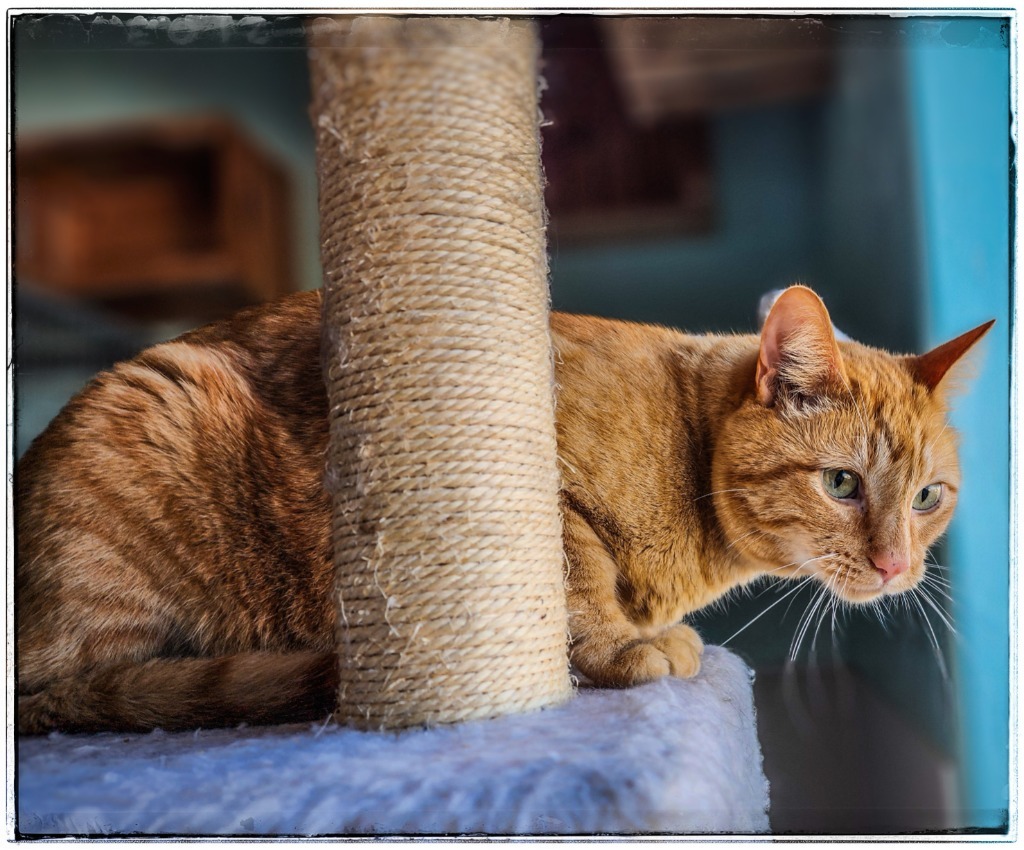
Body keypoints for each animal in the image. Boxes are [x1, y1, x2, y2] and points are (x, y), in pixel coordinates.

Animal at [16, 286, 991, 733]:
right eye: (843, 485)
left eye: (928, 498)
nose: (897, 566)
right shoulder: (541, 495)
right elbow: (579, 585)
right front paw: (625, 649)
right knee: (69, 688)